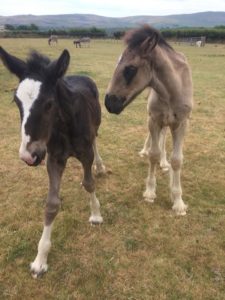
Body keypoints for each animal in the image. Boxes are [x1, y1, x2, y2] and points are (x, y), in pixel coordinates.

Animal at [0, 45, 105, 278]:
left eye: (49, 104)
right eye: (16, 102)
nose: (28, 156)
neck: (65, 126)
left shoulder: (85, 154)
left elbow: (89, 183)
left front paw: (95, 214)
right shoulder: (54, 159)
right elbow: (51, 204)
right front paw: (40, 260)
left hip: (96, 126)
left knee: (96, 140)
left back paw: (100, 167)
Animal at [105, 24, 193, 214]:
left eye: (130, 69)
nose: (108, 102)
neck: (171, 90)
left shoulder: (182, 123)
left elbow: (177, 160)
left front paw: (178, 202)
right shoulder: (154, 120)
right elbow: (153, 154)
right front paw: (150, 192)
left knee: (164, 136)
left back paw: (165, 163)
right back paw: (147, 151)